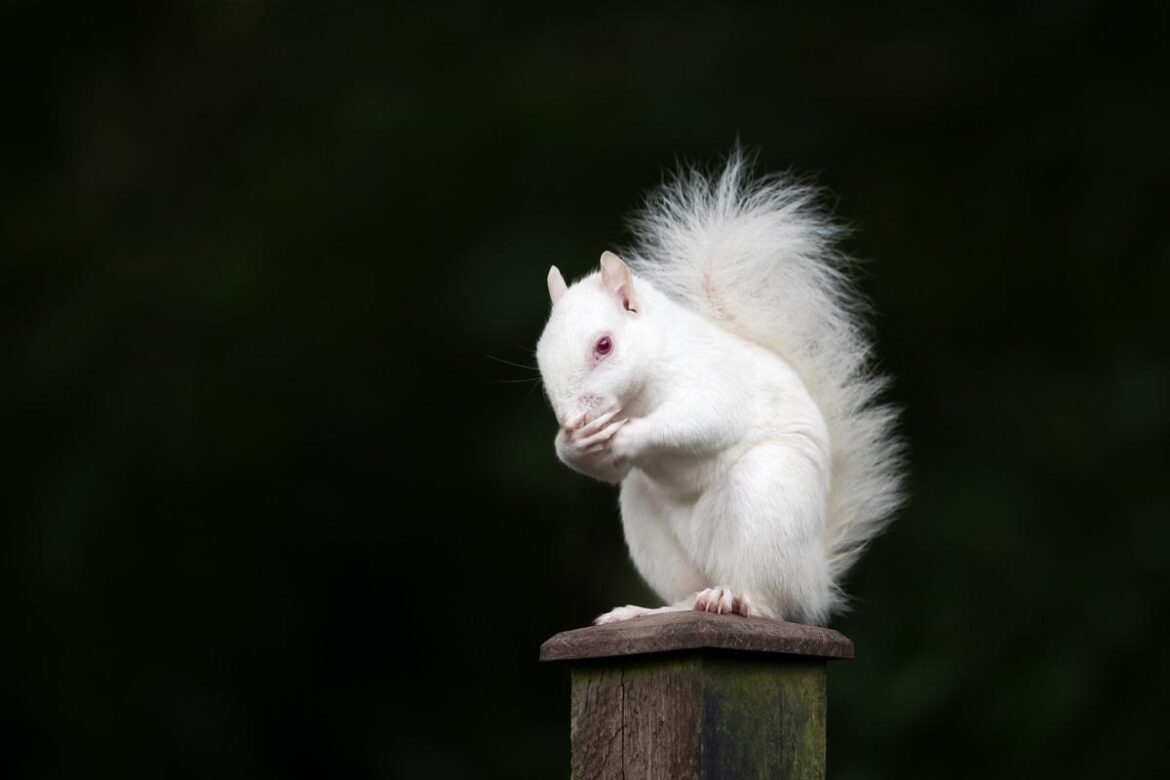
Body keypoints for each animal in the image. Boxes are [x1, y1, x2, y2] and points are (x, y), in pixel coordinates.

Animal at [535, 151, 904, 626]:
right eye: (541, 353)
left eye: (604, 345)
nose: (572, 419)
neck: (641, 387)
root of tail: (816, 584)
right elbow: (609, 470)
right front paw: (573, 444)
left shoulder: (713, 377)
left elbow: (703, 418)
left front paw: (629, 434)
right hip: (652, 526)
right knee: (687, 594)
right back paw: (646, 610)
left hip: (767, 500)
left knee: (771, 602)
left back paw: (736, 599)